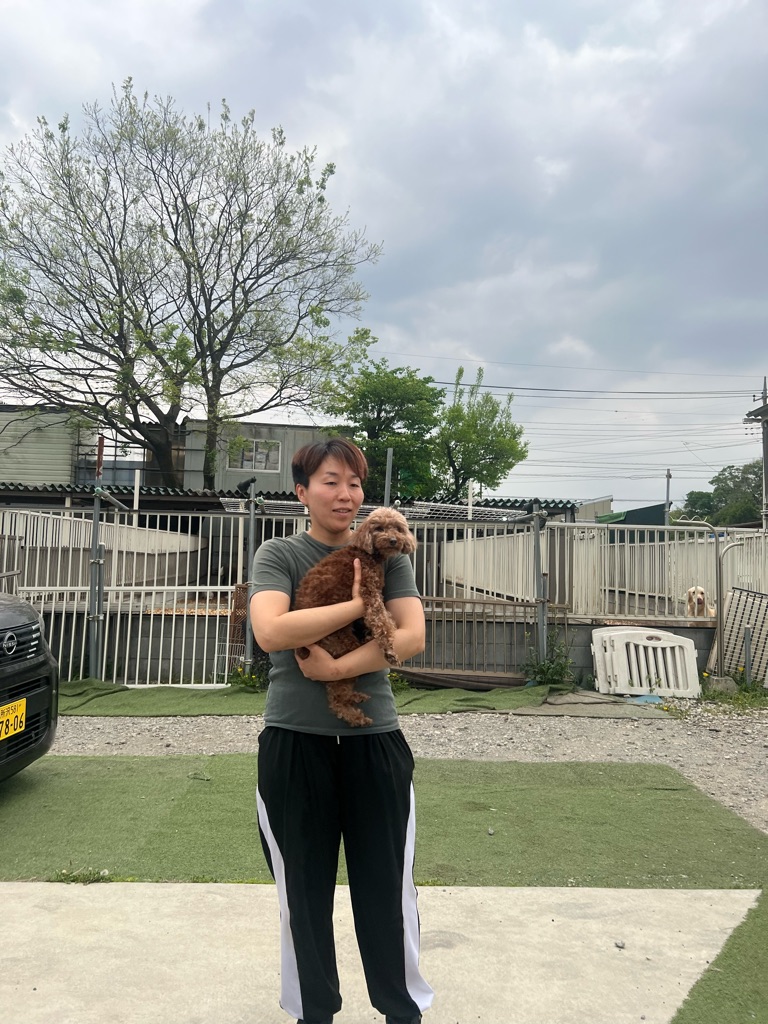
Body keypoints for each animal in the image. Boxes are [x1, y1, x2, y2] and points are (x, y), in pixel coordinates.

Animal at [294, 507, 417, 727]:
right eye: (379, 528)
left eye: (398, 528)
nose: (393, 540)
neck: (369, 554)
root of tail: (302, 649)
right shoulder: (368, 591)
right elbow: (382, 620)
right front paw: (390, 650)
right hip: (341, 645)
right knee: (336, 694)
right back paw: (356, 714)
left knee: (337, 691)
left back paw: (356, 701)